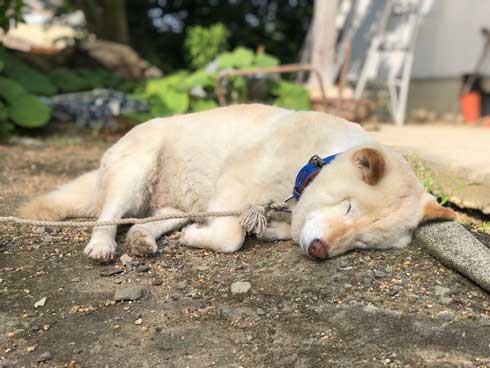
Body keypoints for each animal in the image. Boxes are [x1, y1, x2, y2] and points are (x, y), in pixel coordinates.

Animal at [20, 103, 456, 262]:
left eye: (363, 242)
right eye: (349, 207)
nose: (319, 251)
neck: (314, 159)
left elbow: (279, 227)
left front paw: (273, 231)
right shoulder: (234, 185)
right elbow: (230, 237)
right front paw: (200, 239)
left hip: (177, 204)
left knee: (147, 221)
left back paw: (143, 240)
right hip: (135, 173)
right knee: (109, 216)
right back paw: (102, 245)